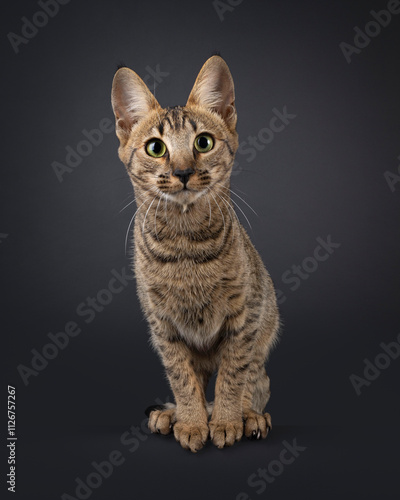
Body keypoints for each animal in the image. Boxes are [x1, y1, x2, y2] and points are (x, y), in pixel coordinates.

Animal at [109, 55, 278, 454]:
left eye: (203, 142)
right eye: (156, 148)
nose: (184, 171)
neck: (186, 244)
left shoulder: (244, 317)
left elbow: (233, 375)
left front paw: (227, 421)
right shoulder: (163, 325)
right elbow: (181, 378)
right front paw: (190, 421)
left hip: (266, 325)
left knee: (256, 382)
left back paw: (249, 417)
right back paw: (171, 415)